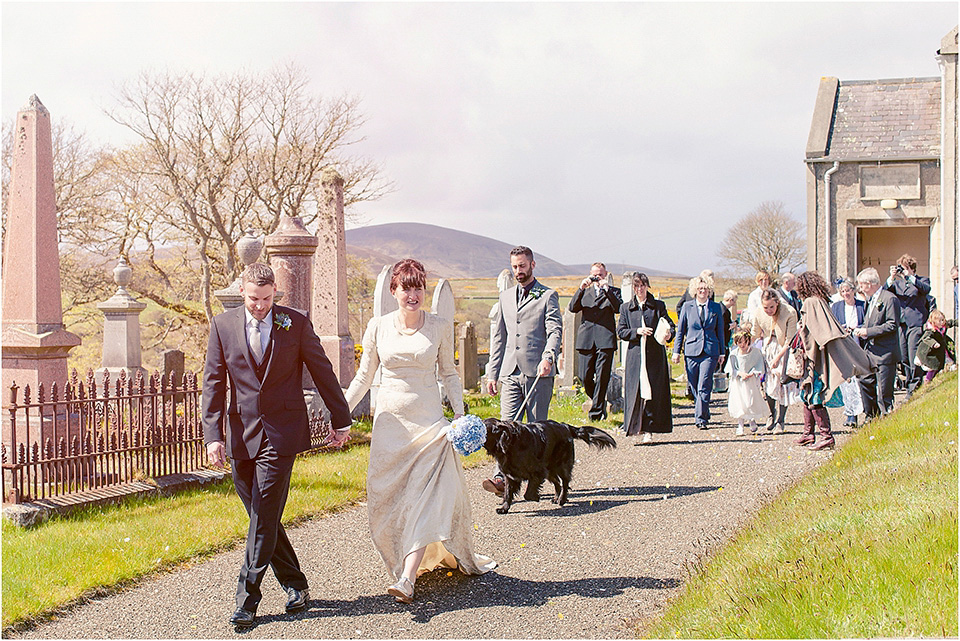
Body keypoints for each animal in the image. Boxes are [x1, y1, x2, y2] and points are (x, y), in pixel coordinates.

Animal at [484, 418, 620, 512]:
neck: (509, 443)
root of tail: (565, 426)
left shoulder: (538, 471)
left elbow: (528, 494)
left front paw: (535, 497)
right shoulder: (510, 476)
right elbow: (507, 493)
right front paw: (504, 508)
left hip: (561, 465)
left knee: (565, 483)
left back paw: (562, 499)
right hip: (550, 469)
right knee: (557, 483)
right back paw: (556, 498)